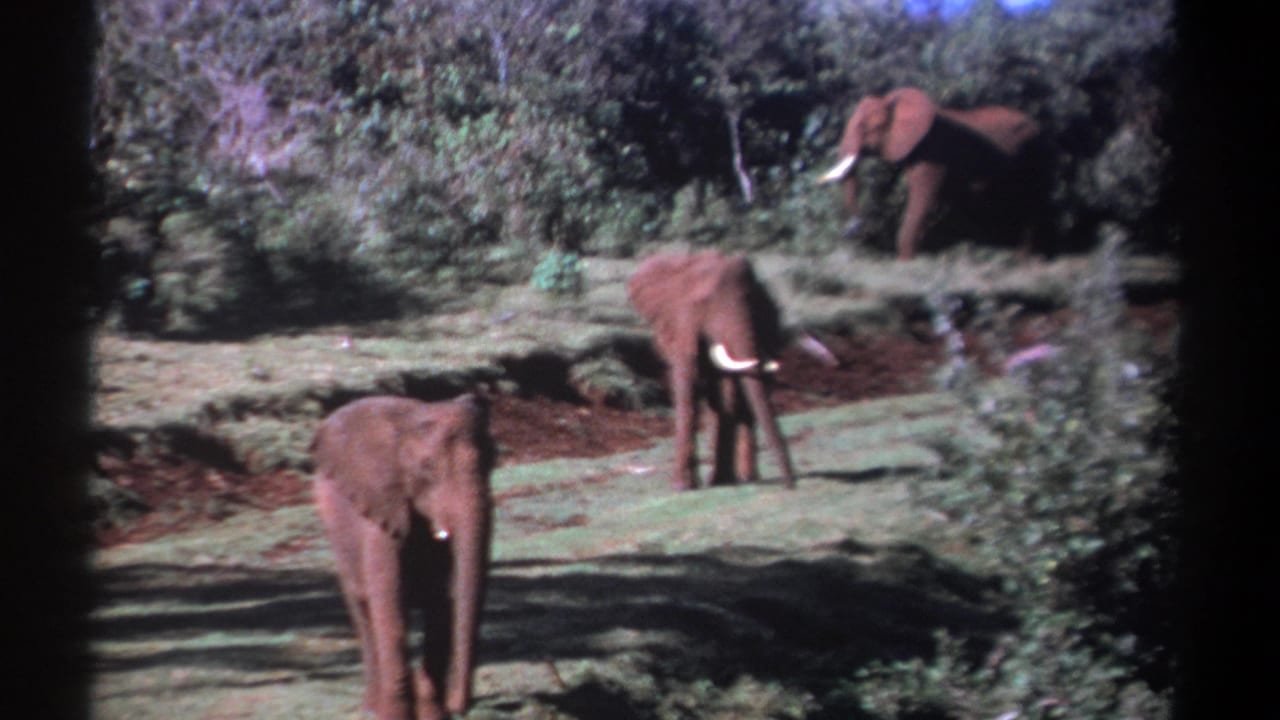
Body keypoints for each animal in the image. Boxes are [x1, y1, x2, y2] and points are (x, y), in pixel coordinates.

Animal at [312, 394, 495, 720]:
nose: (459, 707)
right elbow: (390, 606)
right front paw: (397, 714)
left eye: (493, 460)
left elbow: (440, 605)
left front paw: (434, 714)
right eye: (428, 467)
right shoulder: (380, 509)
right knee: (363, 608)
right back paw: (373, 707)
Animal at [627, 251, 797, 492]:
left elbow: (726, 392)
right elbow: (689, 385)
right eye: (703, 302)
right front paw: (683, 487)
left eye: (753, 300)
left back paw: (744, 477)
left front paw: (719, 481)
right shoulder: (681, 325)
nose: (791, 485)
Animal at [817, 87, 1047, 260]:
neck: (895, 102)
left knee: (1033, 204)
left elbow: (923, 199)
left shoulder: (933, 153)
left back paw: (1024, 259)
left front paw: (907, 261)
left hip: (1037, 153)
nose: (859, 226)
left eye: (865, 127)